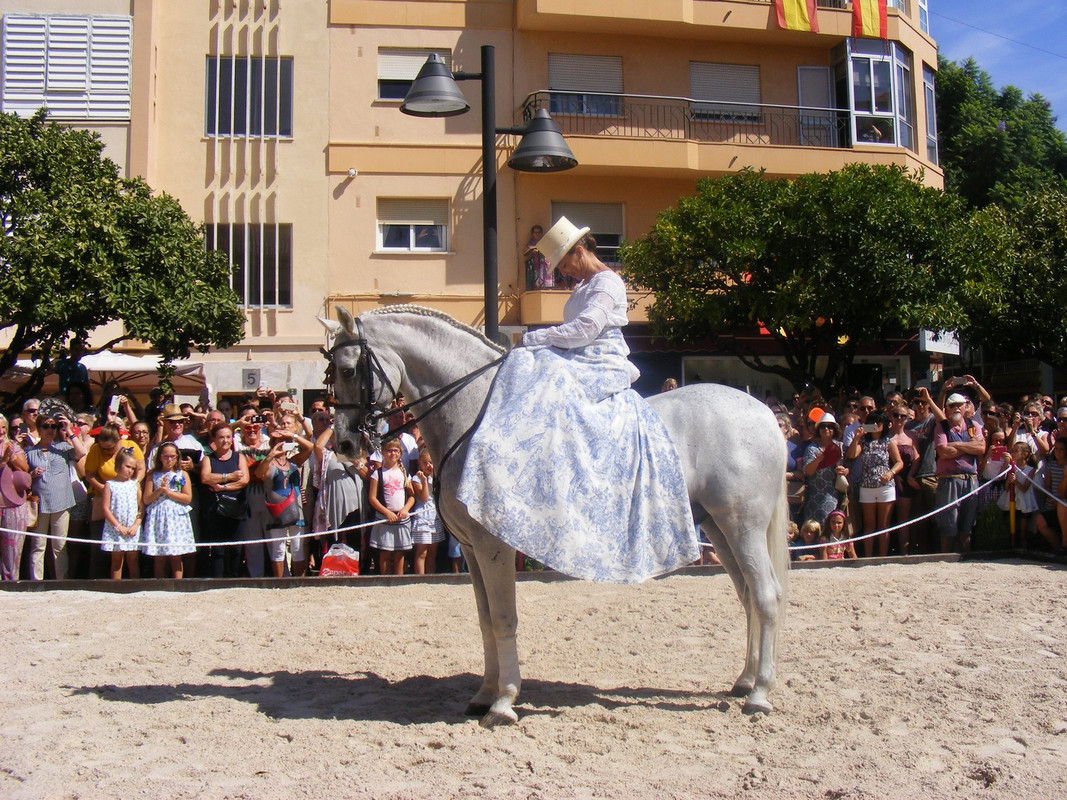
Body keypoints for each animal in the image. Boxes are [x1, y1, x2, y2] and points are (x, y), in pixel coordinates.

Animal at [320, 305, 789, 725]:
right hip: (719, 528)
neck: (474, 412)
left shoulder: (492, 547)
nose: (344, 445)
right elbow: (485, 620)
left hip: (742, 526)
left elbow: (504, 618)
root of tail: (765, 413)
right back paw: (745, 681)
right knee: (748, 596)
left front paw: (504, 702)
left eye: (348, 370)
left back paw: (760, 695)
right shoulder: (470, 549)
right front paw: (483, 694)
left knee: (766, 595)